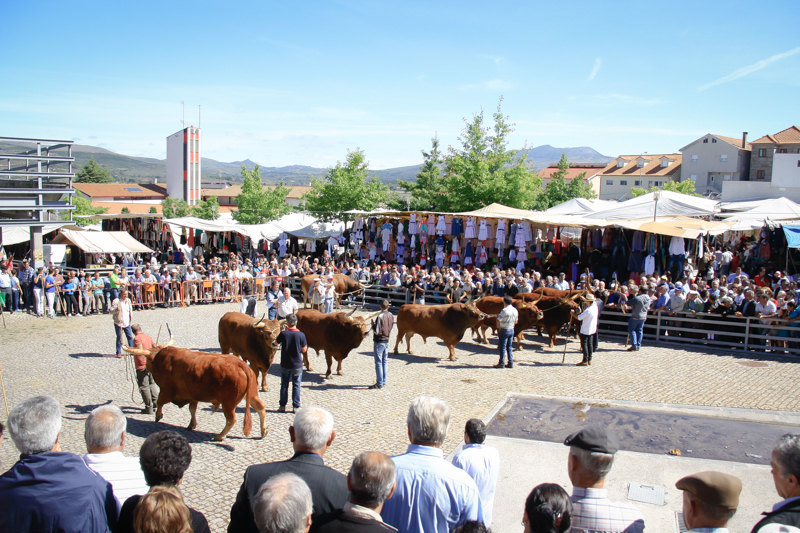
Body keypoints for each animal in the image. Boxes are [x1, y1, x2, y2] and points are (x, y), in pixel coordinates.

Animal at [123, 324, 268, 440]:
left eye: (147, 360)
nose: (145, 367)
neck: (162, 359)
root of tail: (240, 364)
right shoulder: (192, 394)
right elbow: (192, 409)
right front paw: (192, 424)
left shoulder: (166, 390)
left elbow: (159, 402)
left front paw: (158, 416)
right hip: (251, 395)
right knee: (260, 407)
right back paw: (263, 431)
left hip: (228, 403)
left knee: (231, 419)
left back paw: (220, 436)